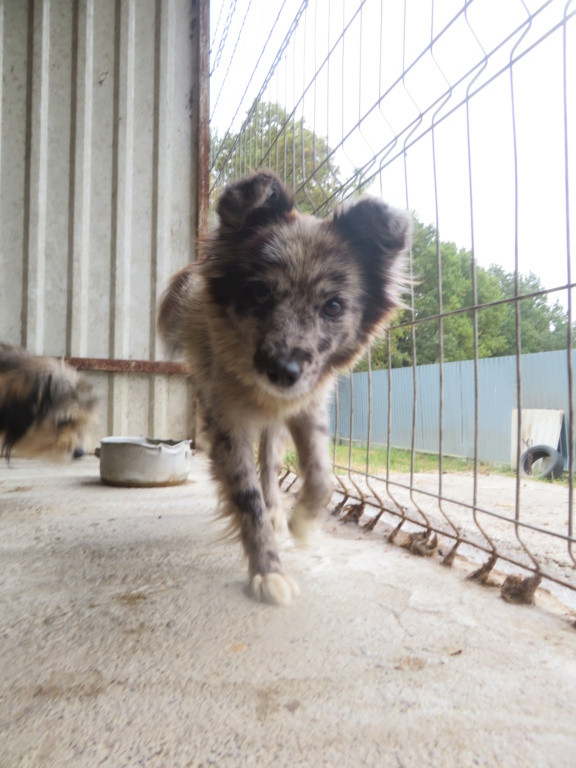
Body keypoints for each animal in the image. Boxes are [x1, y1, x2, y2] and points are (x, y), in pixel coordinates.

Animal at [158, 171, 410, 604]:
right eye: (260, 293)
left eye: (333, 306)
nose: (282, 371)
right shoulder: (228, 423)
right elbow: (247, 499)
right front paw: (267, 571)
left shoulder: (308, 405)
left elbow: (322, 476)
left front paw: (302, 522)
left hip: (277, 427)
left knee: (271, 464)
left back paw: (279, 509)